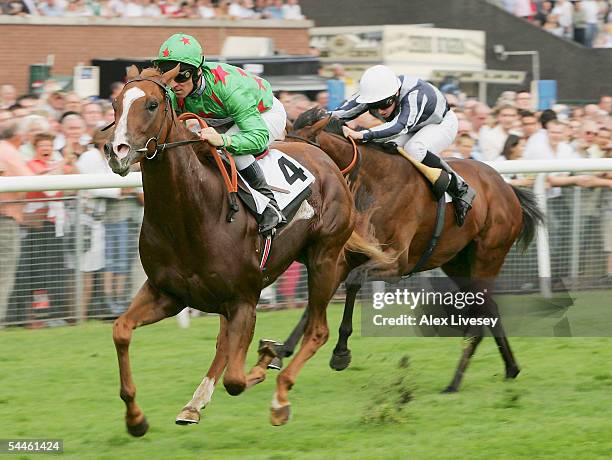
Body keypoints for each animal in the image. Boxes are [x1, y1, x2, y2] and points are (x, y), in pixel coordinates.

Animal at [104, 66, 382, 434]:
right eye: (115, 103)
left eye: (151, 105)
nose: (116, 151)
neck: (190, 213)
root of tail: (320, 152)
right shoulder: (168, 293)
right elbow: (121, 331)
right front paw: (135, 419)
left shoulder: (244, 299)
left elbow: (235, 380)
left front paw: (266, 363)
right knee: (224, 342)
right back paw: (194, 404)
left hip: (324, 256)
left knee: (317, 330)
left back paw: (280, 396)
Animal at [256, 107, 544, 392]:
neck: (369, 183)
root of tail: (507, 188)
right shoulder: (341, 257)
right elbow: (317, 302)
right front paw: (282, 352)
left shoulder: (394, 262)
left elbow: (353, 282)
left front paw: (340, 353)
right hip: (458, 263)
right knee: (490, 310)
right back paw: (511, 368)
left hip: (488, 256)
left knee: (480, 316)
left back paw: (454, 382)